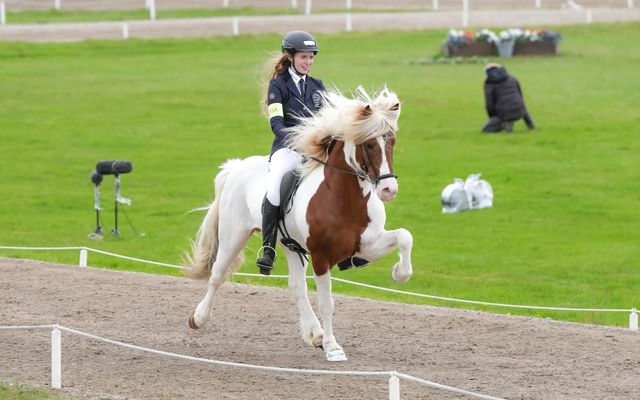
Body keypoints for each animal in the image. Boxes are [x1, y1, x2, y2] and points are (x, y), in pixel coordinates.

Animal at [185, 87, 416, 362]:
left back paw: (314, 334)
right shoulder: (321, 257)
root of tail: (237, 166)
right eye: (369, 144)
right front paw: (333, 347)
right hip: (234, 235)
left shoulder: (366, 246)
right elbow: (327, 303)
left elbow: (405, 236)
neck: (345, 199)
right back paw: (198, 318)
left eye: (392, 142)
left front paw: (400, 273)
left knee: (296, 286)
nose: (389, 190)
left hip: (290, 246)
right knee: (217, 275)